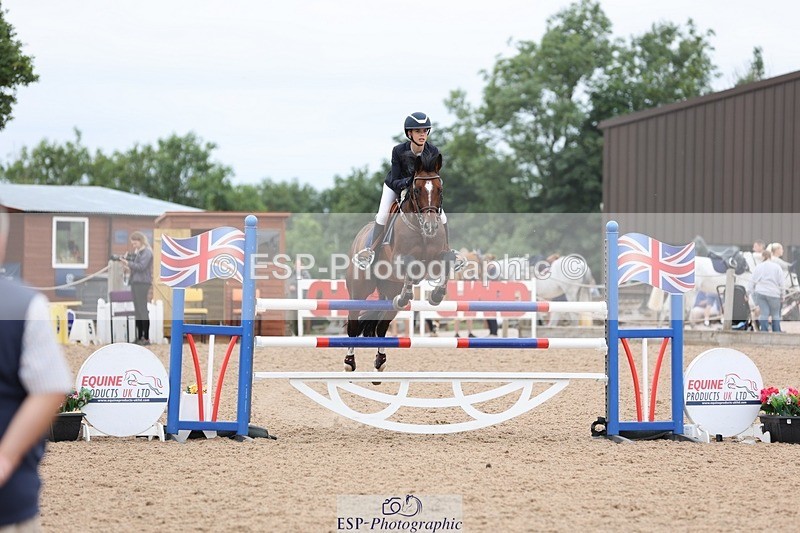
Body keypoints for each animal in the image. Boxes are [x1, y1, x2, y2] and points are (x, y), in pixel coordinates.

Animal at [344, 153, 457, 373]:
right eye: (417, 189)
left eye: (440, 189)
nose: (430, 226)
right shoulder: (398, 259)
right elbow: (410, 264)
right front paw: (408, 293)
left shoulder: (438, 257)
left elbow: (448, 262)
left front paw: (436, 295)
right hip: (358, 291)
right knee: (353, 325)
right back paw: (349, 361)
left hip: (389, 293)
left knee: (381, 327)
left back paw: (380, 362)